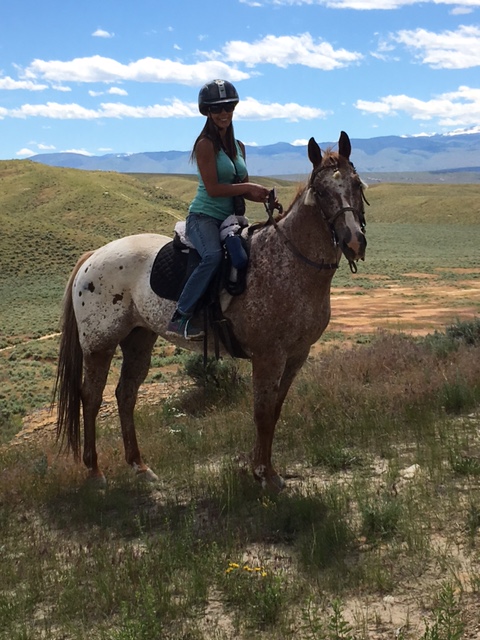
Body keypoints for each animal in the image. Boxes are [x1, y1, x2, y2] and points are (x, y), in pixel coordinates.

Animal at [52, 130, 368, 490]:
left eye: (357, 184)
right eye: (321, 191)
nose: (354, 241)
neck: (290, 261)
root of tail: (92, 256)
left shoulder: (297, 354)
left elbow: (274, 410)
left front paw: (261, 467)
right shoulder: (269, 355)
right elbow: (262, 412)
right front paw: (265, 473)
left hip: (139, 338)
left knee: (126, 394)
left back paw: (140, 466)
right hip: (99, 344)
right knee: (90, 397)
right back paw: (94, 471)